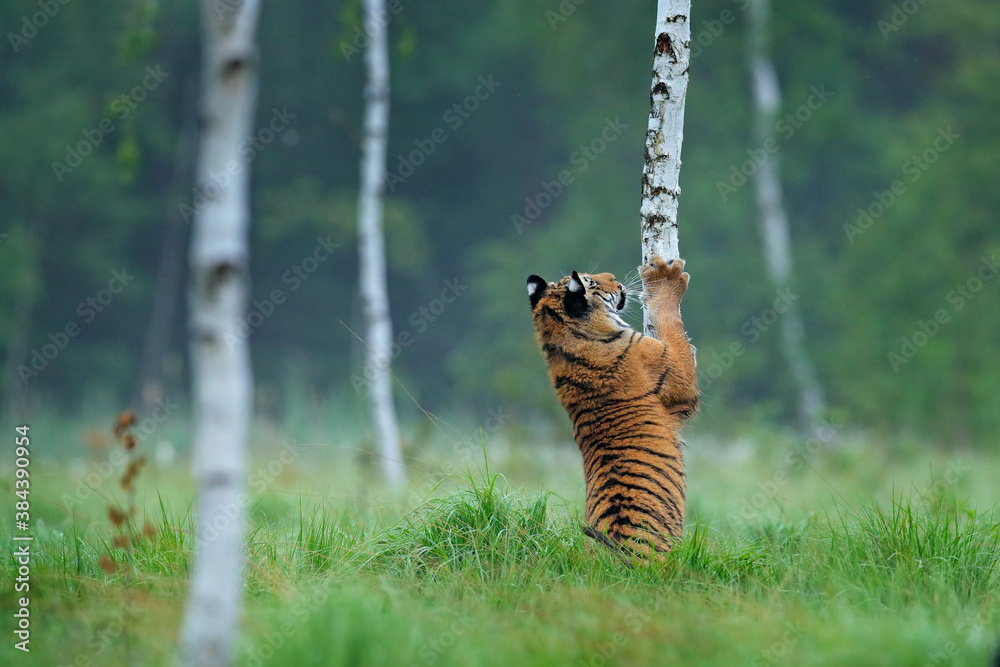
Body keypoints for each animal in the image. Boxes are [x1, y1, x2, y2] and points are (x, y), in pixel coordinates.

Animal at [528, 256, 700, 560]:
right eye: (593, 282)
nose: (614, 277)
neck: (561, 340)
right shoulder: (677, 373)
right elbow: (670, 320)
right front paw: (666, 276)